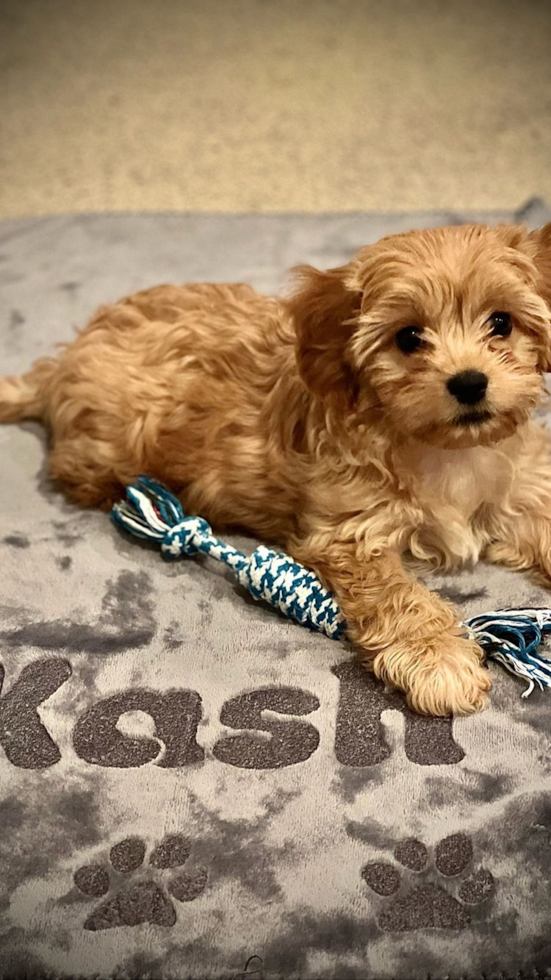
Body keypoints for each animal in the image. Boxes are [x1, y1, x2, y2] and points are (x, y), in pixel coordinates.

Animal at [1, 222, 551, 716]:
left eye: (501, 323)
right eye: (409, 337)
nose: (469, 382)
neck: (448, 451)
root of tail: (61, 366)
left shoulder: (526, 487)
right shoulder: (350, 533)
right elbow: (398, 596)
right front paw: (438, 659)